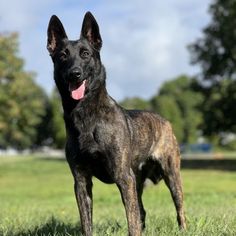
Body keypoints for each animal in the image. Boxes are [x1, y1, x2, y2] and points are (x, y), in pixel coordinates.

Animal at [46, 11, 186, 236]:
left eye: (85, 54)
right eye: (63, 55)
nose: (74, 73)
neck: (86, 116)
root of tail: (164, 120)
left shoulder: (123, 177)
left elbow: (132, 221)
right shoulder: (81, 181)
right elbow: (87, 222)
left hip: (171, 174)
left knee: (179, 208)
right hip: (137, 182)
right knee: (142, 211)